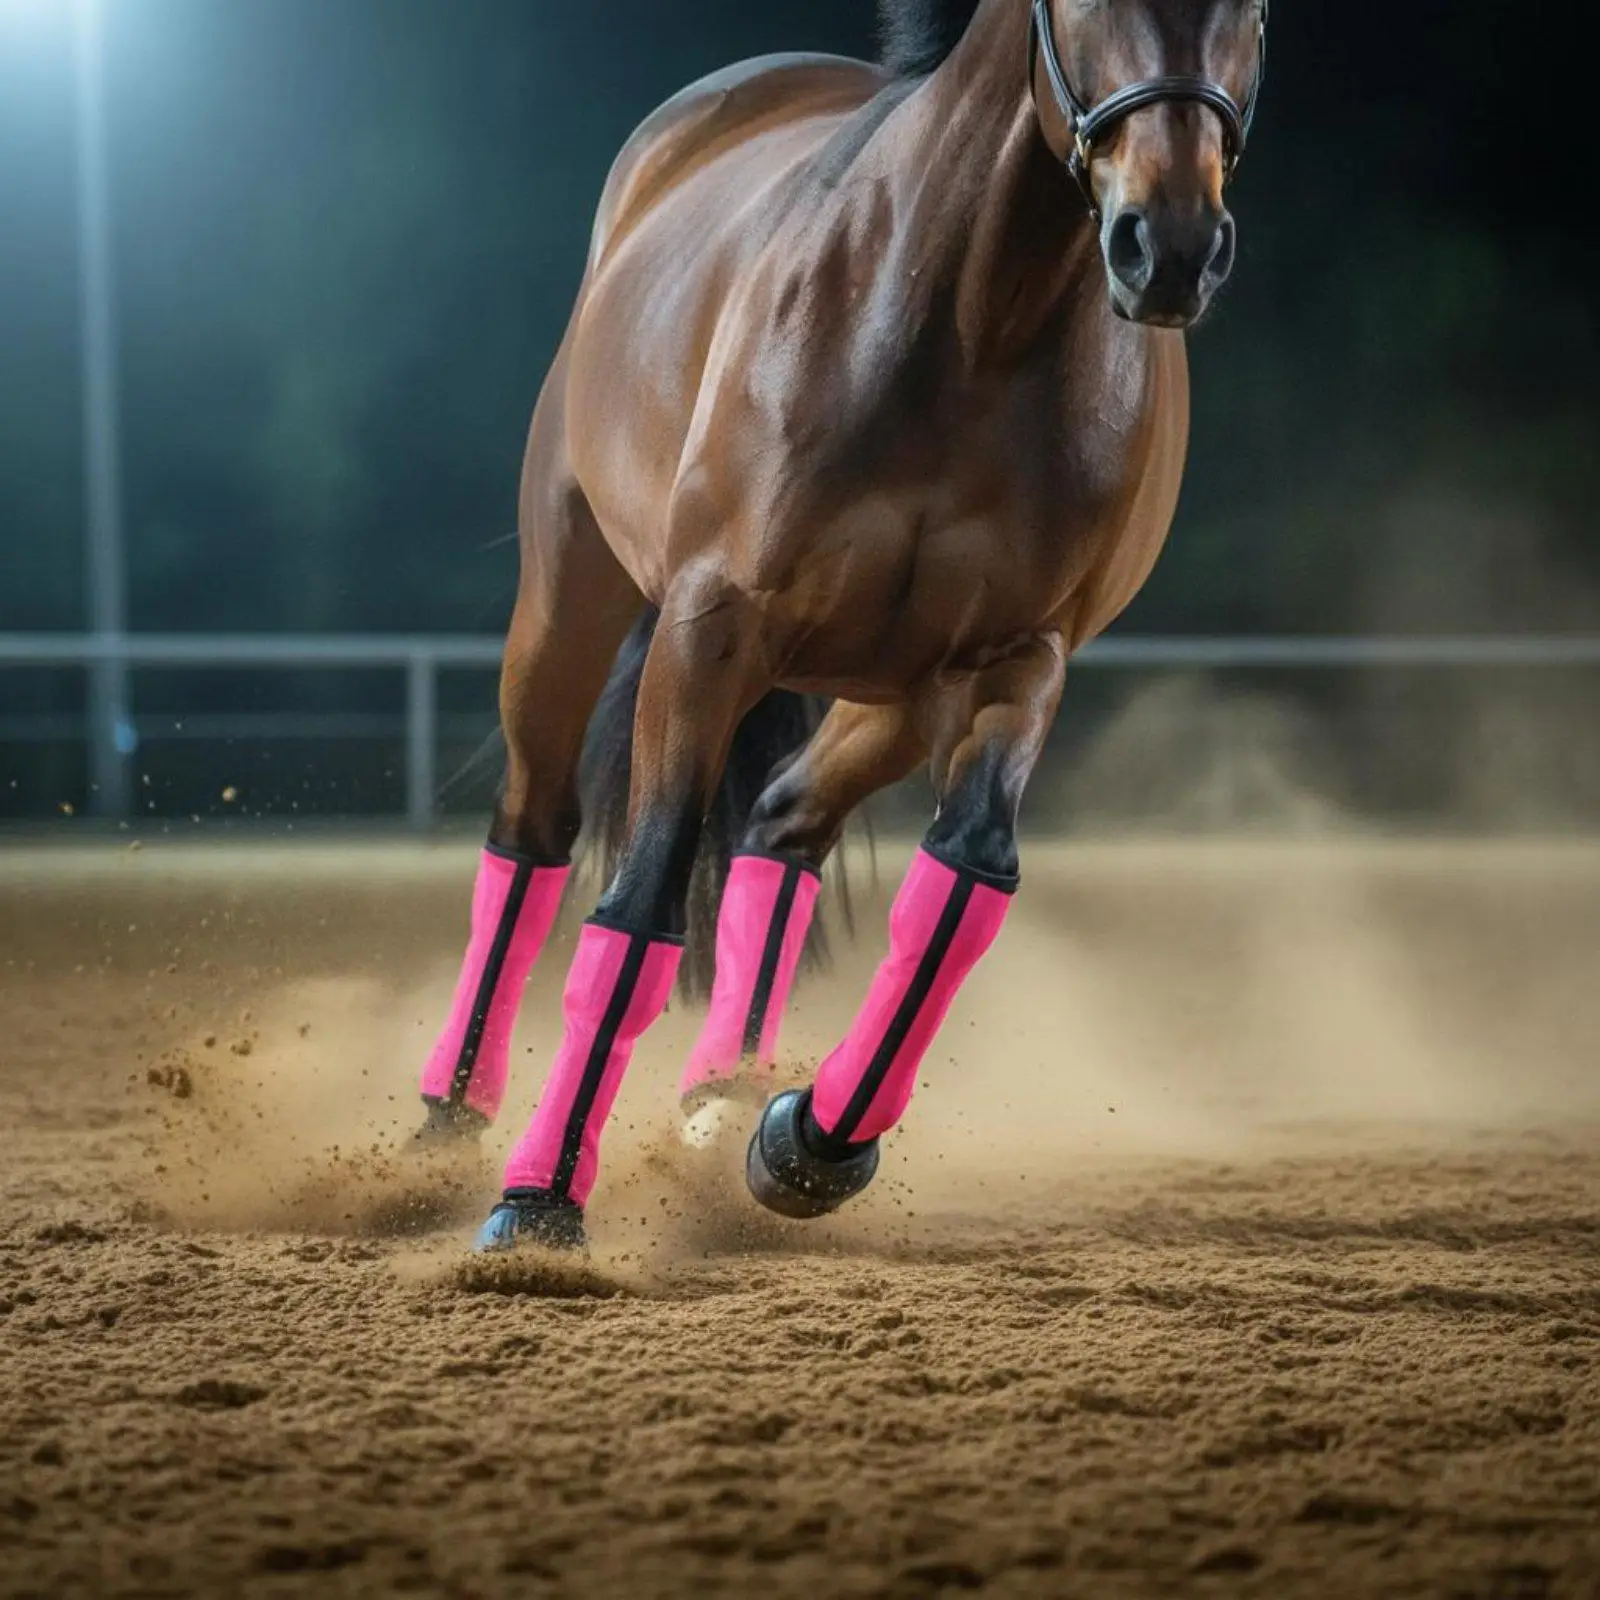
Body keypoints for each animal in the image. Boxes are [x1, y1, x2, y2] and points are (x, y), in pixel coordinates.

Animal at [414, 0, 1268, 1251]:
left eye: (1253, 13)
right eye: (1081, 4)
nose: (1168, 247)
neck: (971, 318)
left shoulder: (1016, 661)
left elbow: (967, 876)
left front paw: (809, 1140)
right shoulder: (711, 629)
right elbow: (642, 900)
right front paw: (538, 1200)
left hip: (894, 693)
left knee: (782, 823)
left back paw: (724, 1099)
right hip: (568, 600)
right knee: (533, 829)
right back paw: (450, 1119)